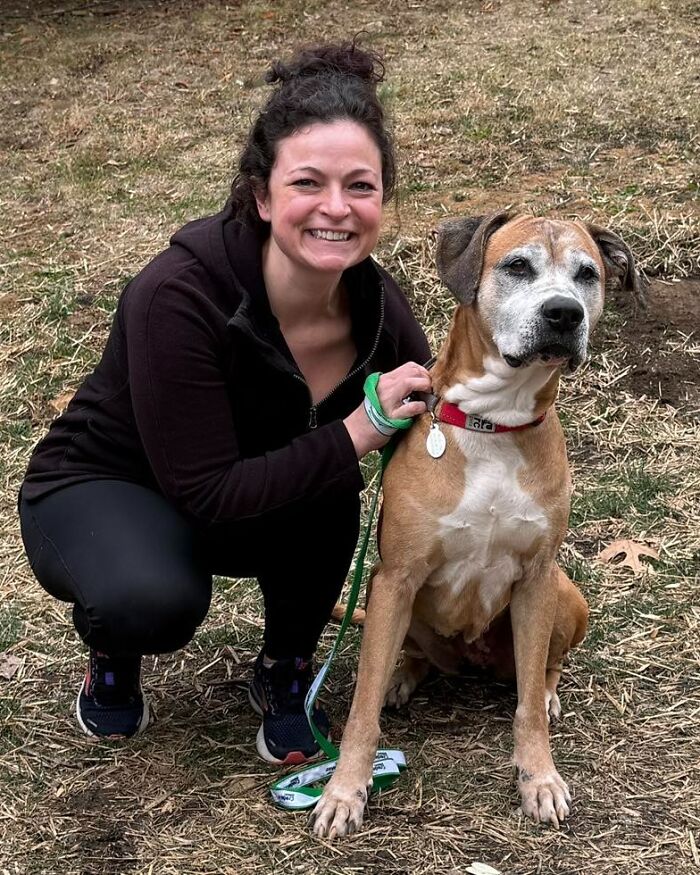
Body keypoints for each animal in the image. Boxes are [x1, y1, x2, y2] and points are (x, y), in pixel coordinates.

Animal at [314, 214, 644, 840]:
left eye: (587, 274)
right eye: (517, 265)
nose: (565, 313)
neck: (494, 422)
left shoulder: (537, 578)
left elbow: (527, 712)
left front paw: (538, 778)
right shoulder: (396, 577)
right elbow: (361, 709)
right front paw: (344, 790)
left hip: (566, 593)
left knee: (543, 670)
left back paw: (546, 692)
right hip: (383, 595)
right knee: (407, 657)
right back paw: (401, 677)